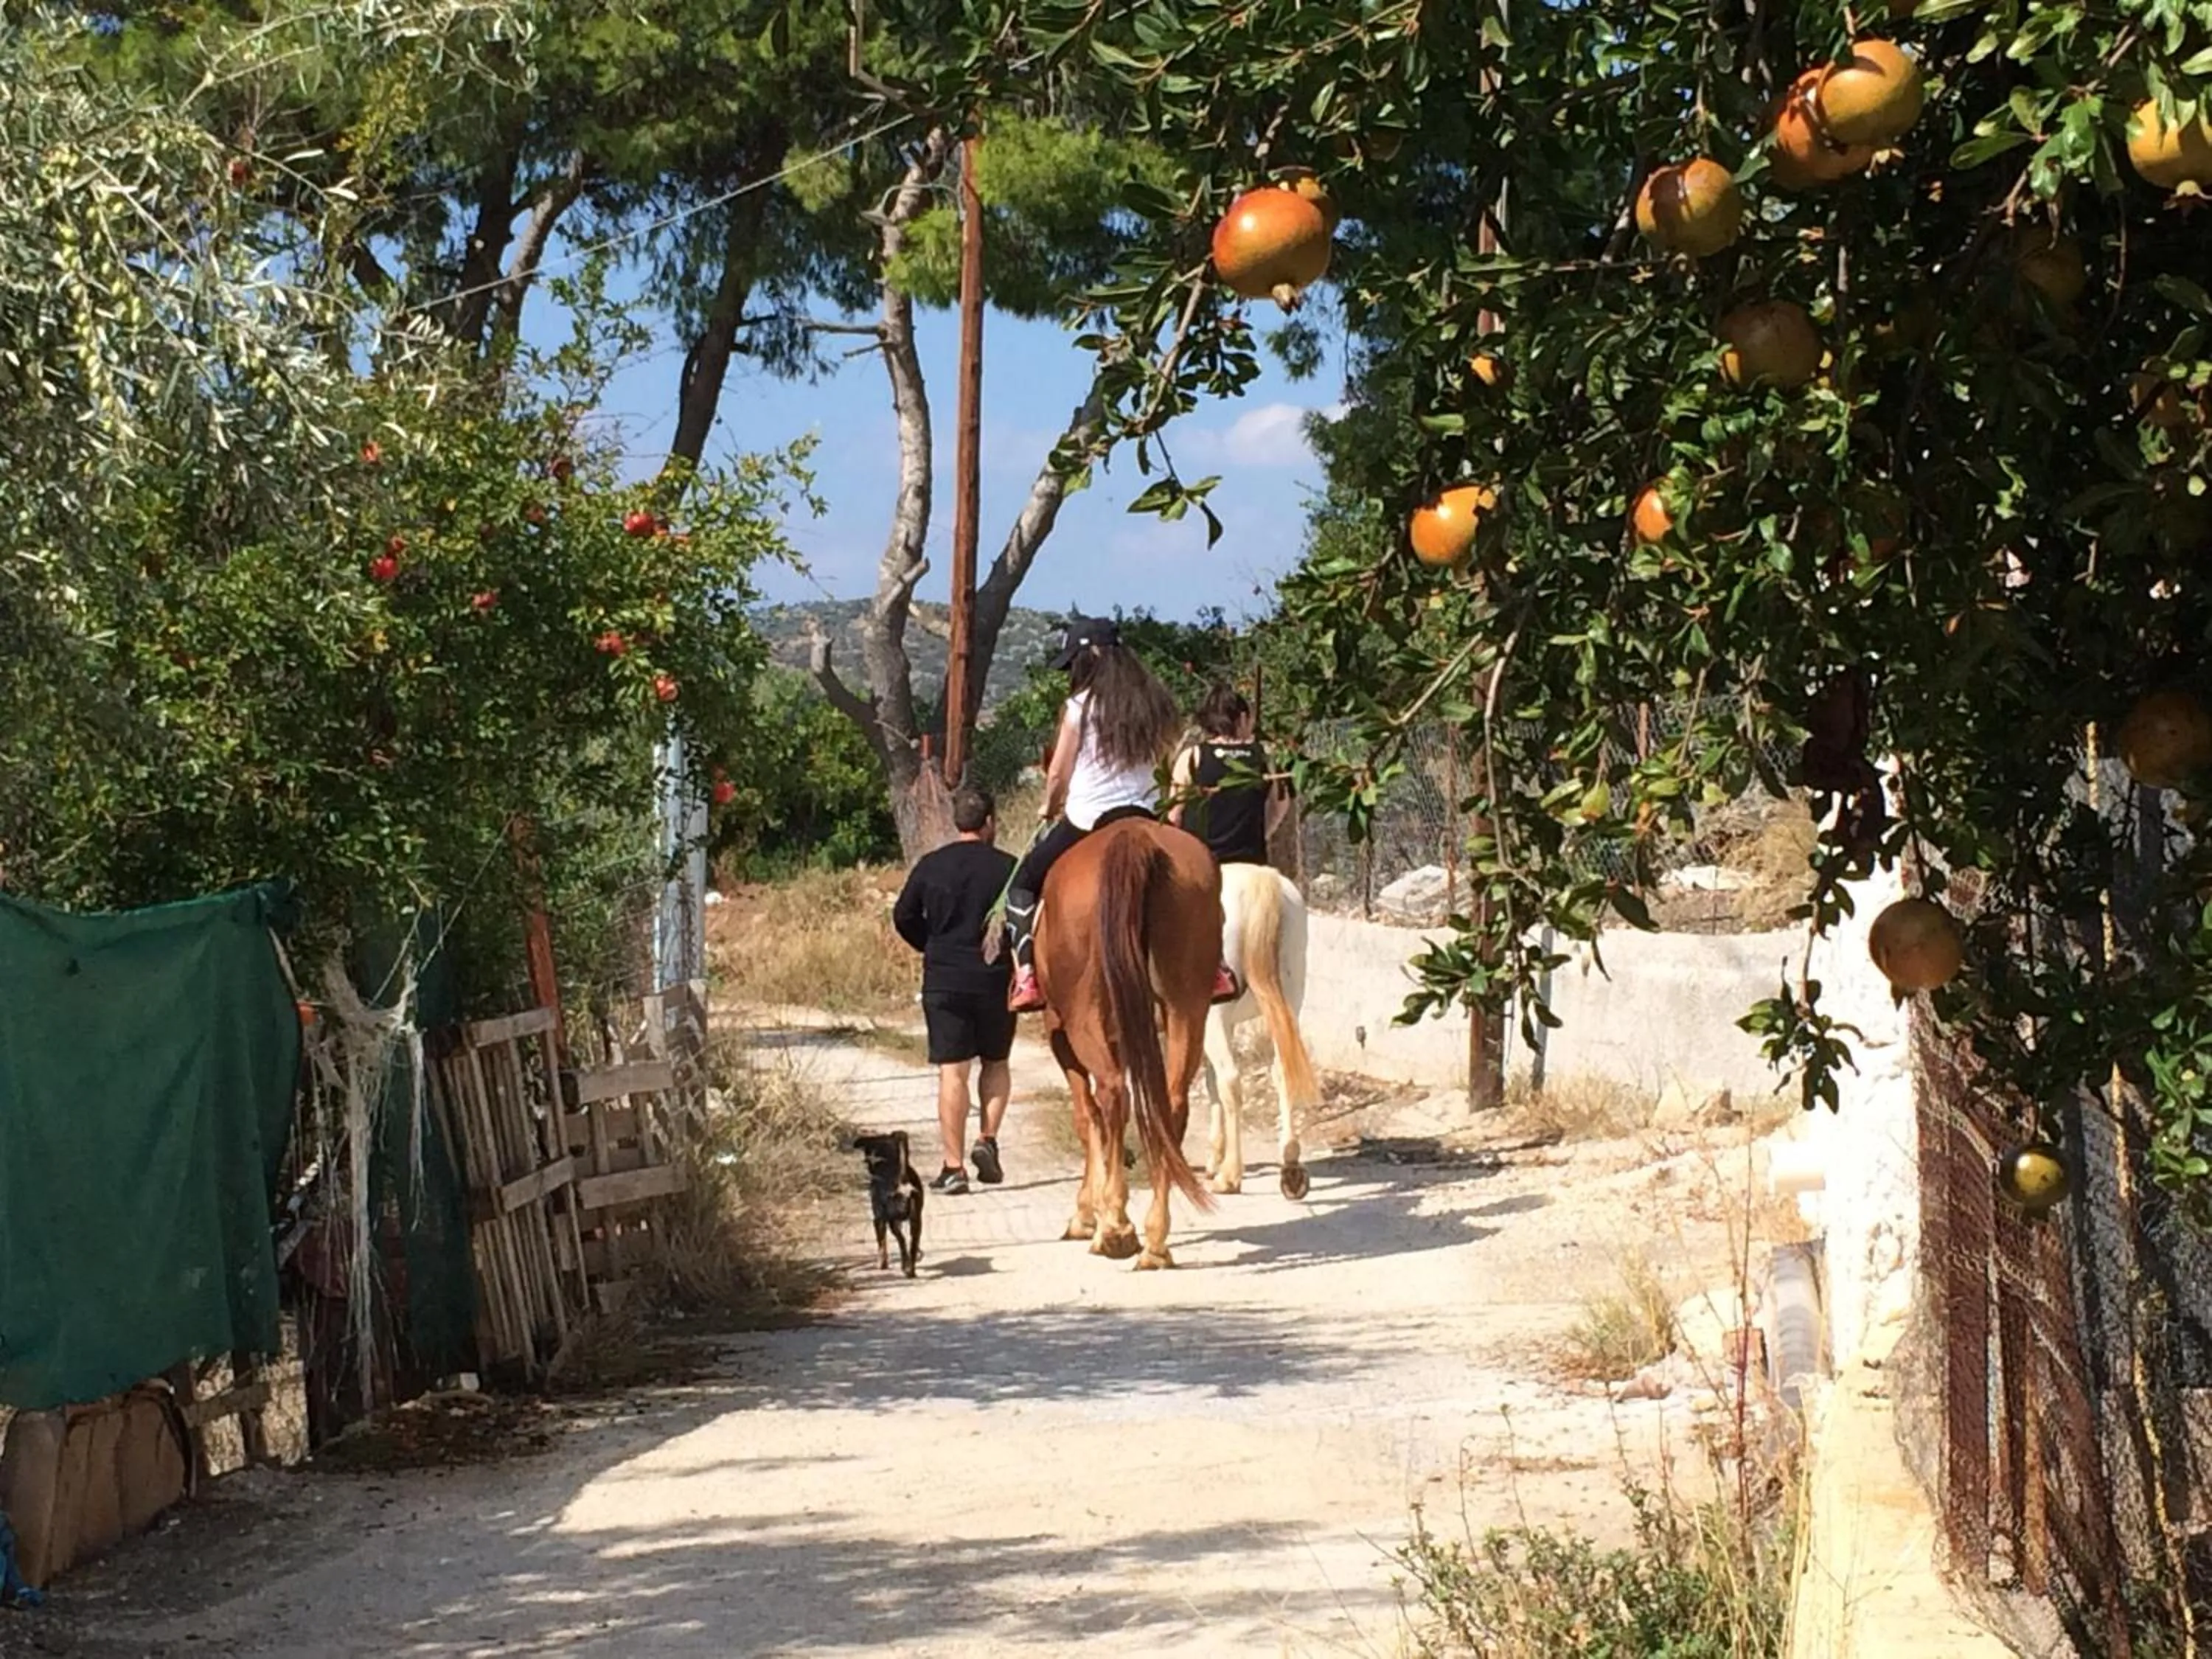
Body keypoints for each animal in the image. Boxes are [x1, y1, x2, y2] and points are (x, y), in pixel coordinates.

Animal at [1035, 816, 1221, 1269]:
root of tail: (1133, 836)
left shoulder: (1059, 1034)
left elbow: (1086, 1118)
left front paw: (1088, 1214)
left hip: (1082, 1019)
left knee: (1113, 1094)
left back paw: (1116, 1229)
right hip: (1187, 1008)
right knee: (1171, 1105)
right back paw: (1155, 1240)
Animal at [1200, 861, 1319, 1200]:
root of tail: (1260, 881)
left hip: (1213, 1017)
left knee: (1230, 1080)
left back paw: (1230, 1177)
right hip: (1289, 1001)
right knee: (1281, 1071)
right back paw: (1290, 1164)